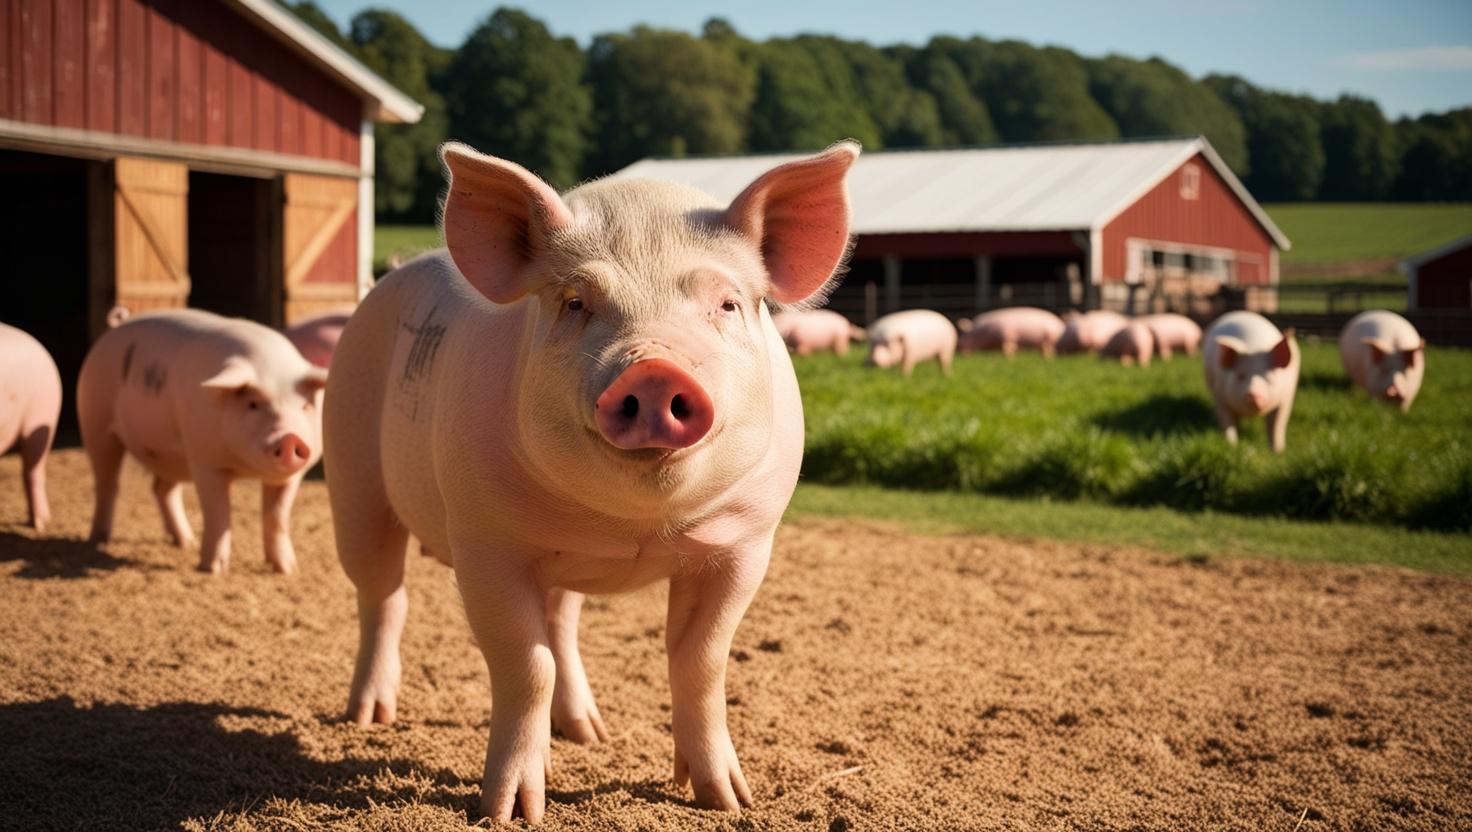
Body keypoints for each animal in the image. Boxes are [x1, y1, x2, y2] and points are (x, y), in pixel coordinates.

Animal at [77, 309, 328, 574]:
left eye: (306, 405)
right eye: (253, 404)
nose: (290, 438)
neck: (244, 467)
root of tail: (118, 325)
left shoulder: (290, 477)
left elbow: (277, 517)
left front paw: (288, 570)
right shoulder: (204, 461)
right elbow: (218, 513)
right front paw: (213, 569)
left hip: (170, 456)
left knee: (161, 488)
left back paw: (186, 542)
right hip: (95, 421)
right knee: (107, 483)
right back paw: (98, 539)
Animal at [323, 140, 860, 822]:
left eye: (727, 304)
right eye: (576, 302)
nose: (655, 370)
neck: (631, 527)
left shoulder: (745, 543)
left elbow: (701, 661)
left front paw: (727, 801)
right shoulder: (483, 542)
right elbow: (524, 665)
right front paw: (510, 813)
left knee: (562, 621)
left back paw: (587, 732)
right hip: (352, 472)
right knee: (383, 595)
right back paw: (368, 718)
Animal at [1203, 311, 1299, 453]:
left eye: (1269, 377)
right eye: (1240, 376)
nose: (1253, 394)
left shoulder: (1286, 399)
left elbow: (1277, 424)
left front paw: (1278, 451)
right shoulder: (1220, 396)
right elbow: (1227, 422)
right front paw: (1232, 445)